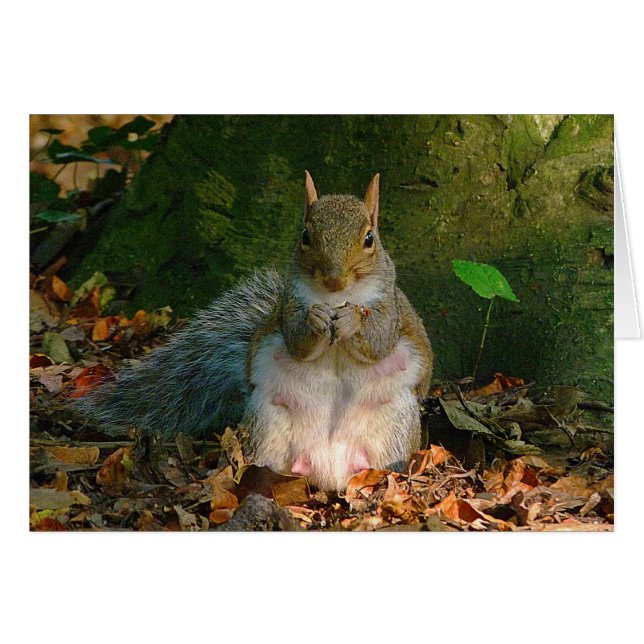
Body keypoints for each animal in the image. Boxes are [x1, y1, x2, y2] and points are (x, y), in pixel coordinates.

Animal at [77, 172, 433, 491]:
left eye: (369, 238)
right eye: (305, 235)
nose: (334, 279)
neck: (334, 297)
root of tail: (328, 470)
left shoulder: (390, 308)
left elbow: (379, 340)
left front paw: (351, 320)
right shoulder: (289, 305)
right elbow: (298, 341)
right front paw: (315, 319)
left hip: (394, 424)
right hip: (268, 422)